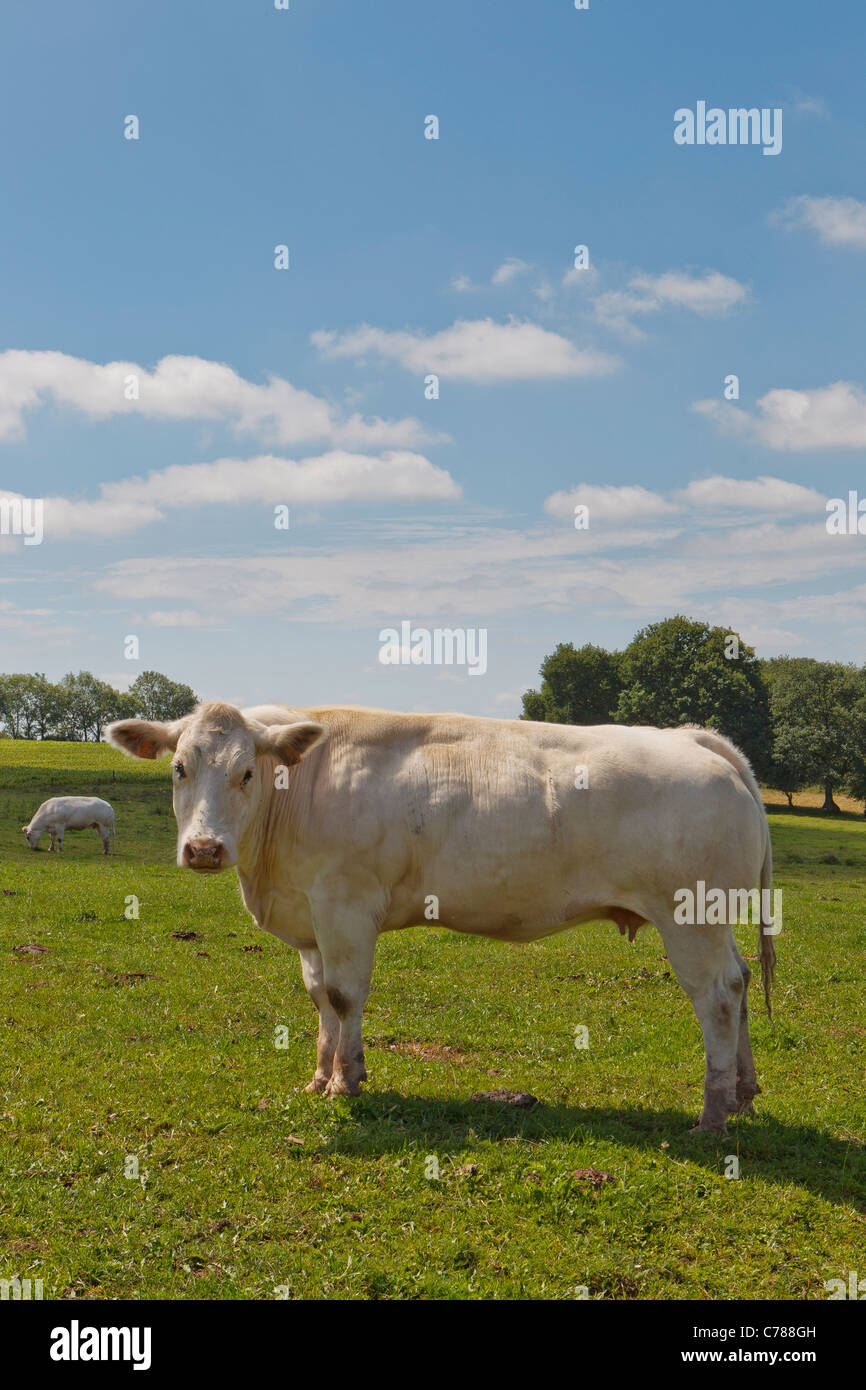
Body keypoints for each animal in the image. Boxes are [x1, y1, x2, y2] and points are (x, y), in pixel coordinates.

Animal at [108, 700, 778, 1134]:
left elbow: (345, 996)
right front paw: (321, 1078)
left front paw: (347, 1081)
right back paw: (743, 1094)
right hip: (716, 916)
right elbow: (319, 997)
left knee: (718, 997)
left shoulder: (345, 904)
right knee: (742, 980)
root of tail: (692, 738)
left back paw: (712, 1116)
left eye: (246, 772)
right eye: (179, 768)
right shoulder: (310, 917)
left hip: (689, 916)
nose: (204, 849)